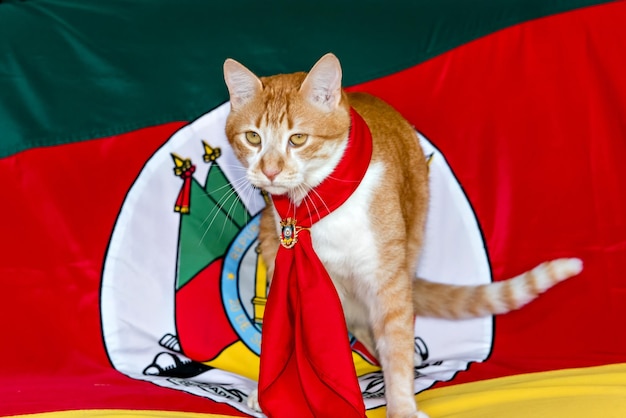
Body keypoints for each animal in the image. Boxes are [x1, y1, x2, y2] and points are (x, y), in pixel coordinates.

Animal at [221, 54, 580, 416]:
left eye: (297, 139)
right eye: (253, 138)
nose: (269, 171)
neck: (317, 206)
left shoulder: (387, 279)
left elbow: (396, 344)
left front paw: (402, 405)